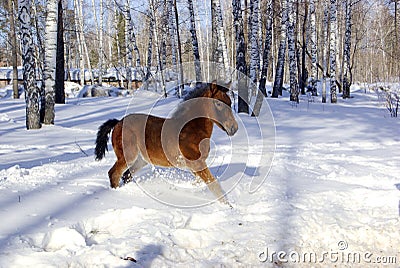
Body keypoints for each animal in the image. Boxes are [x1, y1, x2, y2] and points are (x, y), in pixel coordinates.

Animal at [94, 82, 238, 206]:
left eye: (230, 103)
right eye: (218, 103)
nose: (234, 128)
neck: (190, 129)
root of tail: (118, 122)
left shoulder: (194, 165)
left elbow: (199, 181)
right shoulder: (196, 163)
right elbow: (213, 184)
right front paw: (229, 206)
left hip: (141, 160)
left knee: (126, 175)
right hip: (127, 156)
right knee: (114, 174)